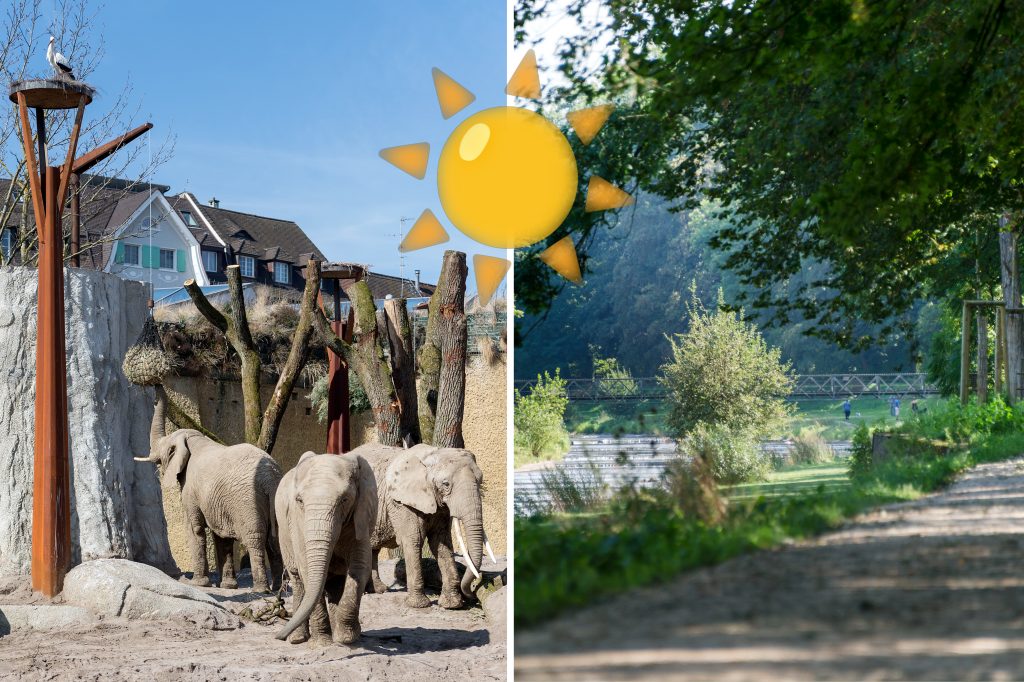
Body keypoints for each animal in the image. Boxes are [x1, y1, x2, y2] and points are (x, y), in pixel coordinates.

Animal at [135, 391, 284, 593]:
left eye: (166, 449)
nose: (156, 386)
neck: (193, 439)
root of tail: (270, 477)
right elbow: (222, 536)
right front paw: (228, 587)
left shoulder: (190, 488)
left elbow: (194, 528)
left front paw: (197, 584)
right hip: (275, 498)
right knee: (275, 541)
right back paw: (277, 588)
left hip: (247, 502)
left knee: (255, 541)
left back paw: (261, 590)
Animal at [274, 448, 378, 647]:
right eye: (299, 500)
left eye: (344, 499)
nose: (278, 636)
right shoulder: (298, 525)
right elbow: (307, 570)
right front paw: (322, 643)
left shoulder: (360, 517)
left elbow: (360, 567)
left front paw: (346, 639)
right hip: (284, 534)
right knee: (297, 579)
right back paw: (298, 639)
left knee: (337, 581)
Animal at [354, 444, 493, 606]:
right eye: (446, 484)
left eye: (480, 480)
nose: (472, 594)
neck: (431, 455)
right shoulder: (400, 502)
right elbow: (414, 540)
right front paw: (420, 605)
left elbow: (441, 542)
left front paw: (452, 605)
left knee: (373, 548)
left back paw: (378, 590)